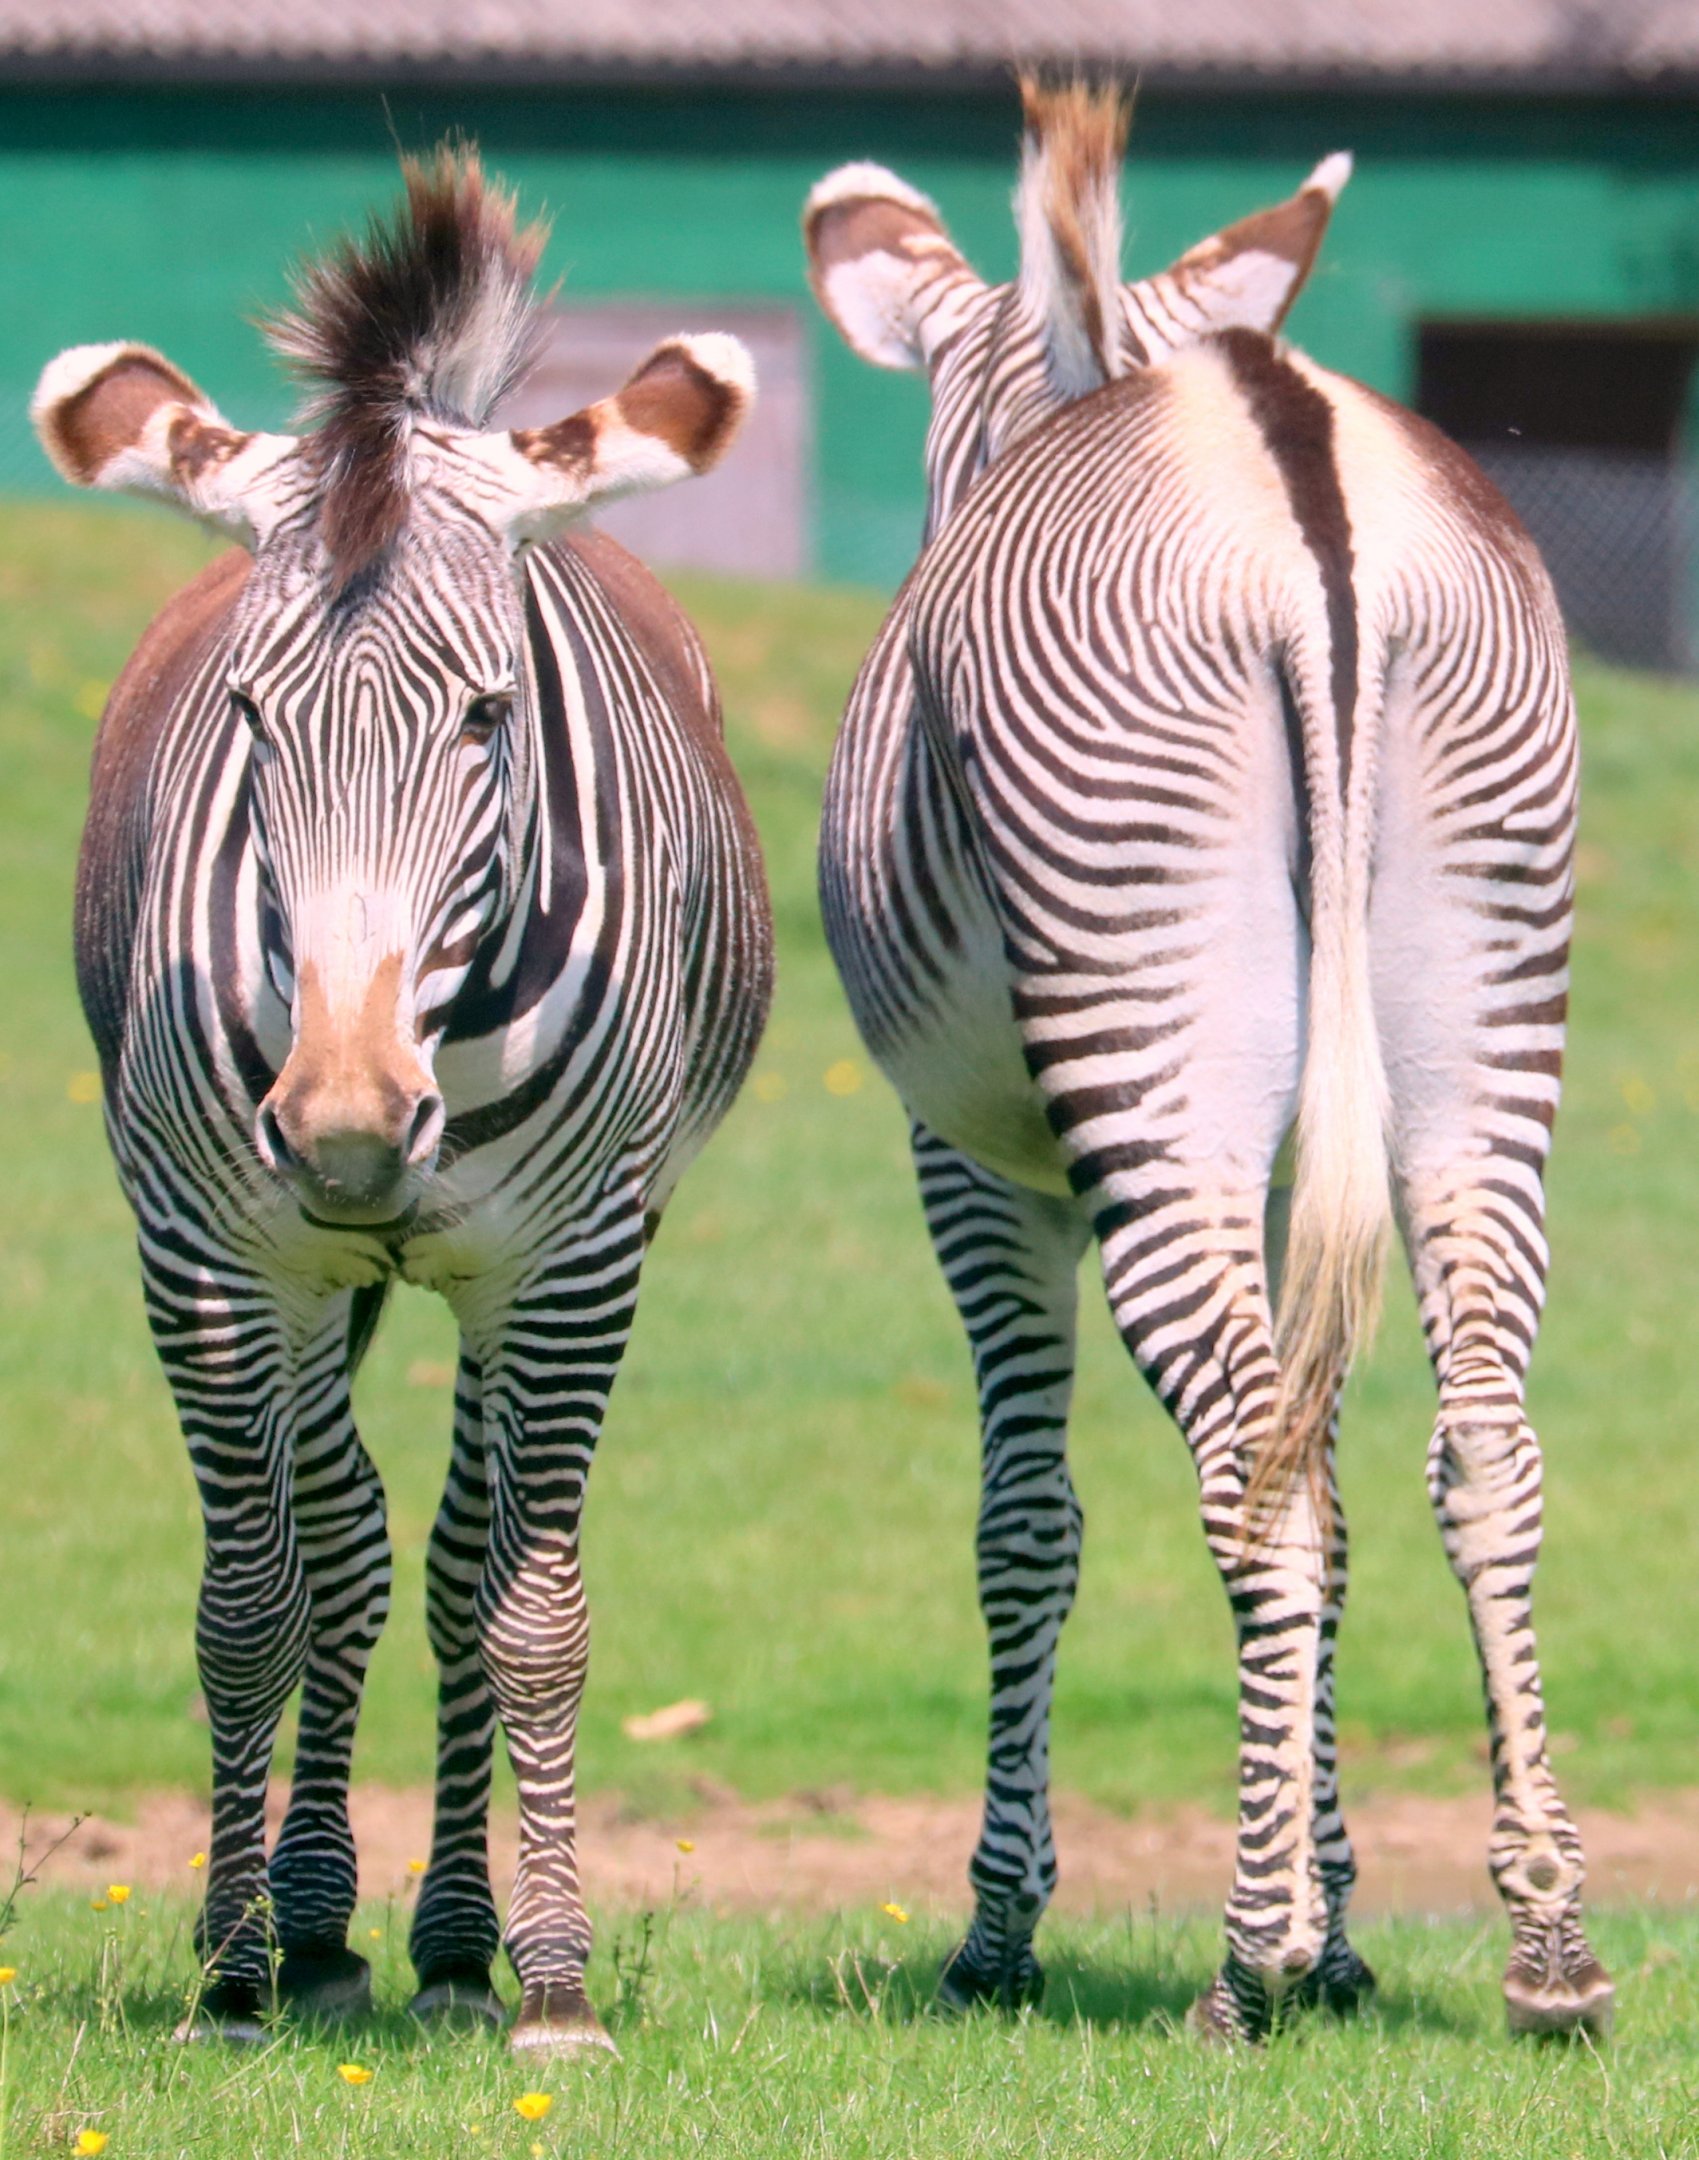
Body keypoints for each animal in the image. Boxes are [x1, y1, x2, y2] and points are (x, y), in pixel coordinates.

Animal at [34, 149, 771, 2054]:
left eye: (490, 719)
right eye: (245, 715)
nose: (352, 1127)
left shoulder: (572, 1266)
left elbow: (529, 1613)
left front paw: (554, 1980)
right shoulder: (213, 1257)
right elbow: (251, 1603)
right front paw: (229, 1972)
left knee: (438, 1560)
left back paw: (447, 1937)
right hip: (314, 1277)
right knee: (350, 1546)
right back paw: (310, 1925)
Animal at [805, 81, 1612, 2043]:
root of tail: (1293, 466)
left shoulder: (979, 1172)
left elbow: (1024, 1522)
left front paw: (1000, 1935)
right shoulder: (1293, 1155)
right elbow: (1335, 1492)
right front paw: (1346, 1925)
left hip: (1136, 1054)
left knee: (1247, 1456)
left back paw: (1240, 1962)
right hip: (1481, 1025)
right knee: (1476, 1449)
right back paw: (1544, 1946)